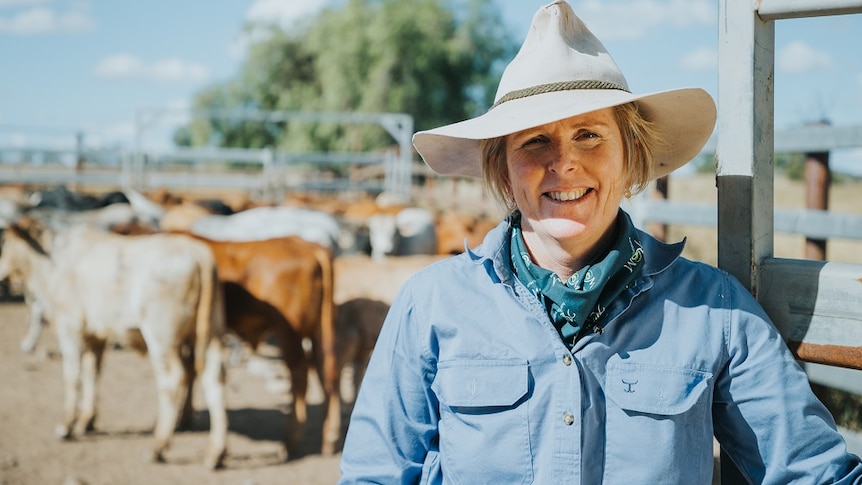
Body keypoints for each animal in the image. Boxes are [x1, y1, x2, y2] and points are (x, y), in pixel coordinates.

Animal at [0, 221, 230, 466]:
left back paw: (158, 447)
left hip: (161, 337)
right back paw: (215, 452)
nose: (2, 274)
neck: (50, 259)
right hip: (210, 332)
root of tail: (197, 253)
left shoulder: (70, 325)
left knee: (172, 380)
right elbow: (92, 373)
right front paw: (86, 421)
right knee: (214, 377)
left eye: (5, 243)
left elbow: (72, 376)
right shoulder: (95, 334)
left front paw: (65, 426)